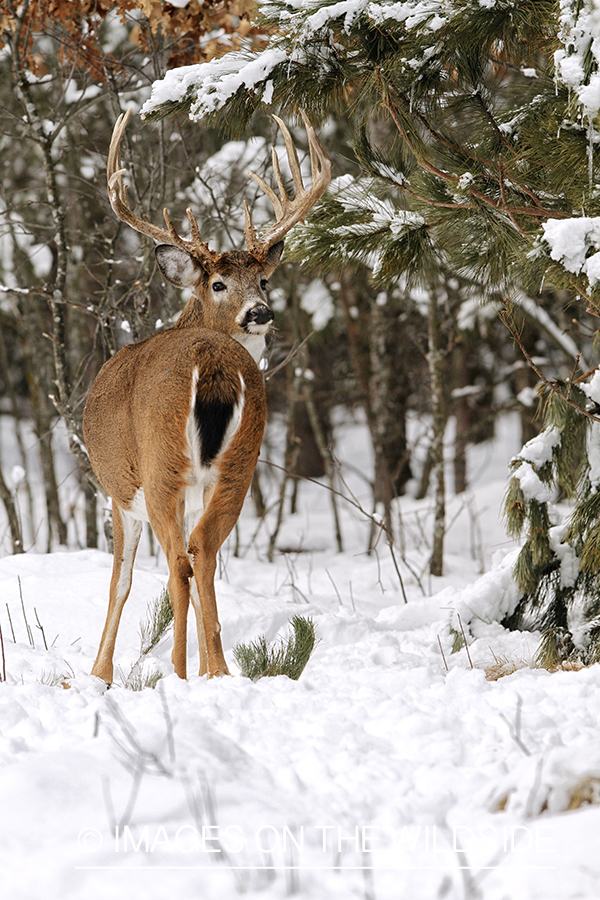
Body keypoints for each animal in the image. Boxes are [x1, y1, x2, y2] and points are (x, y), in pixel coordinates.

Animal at [82, 107, 330, 684]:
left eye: (263, 280)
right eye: (219, 283)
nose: (260, 312)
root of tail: (214, 364)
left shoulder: (118, 492)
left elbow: (120, 581)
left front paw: (100, 673)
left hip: (161, 462)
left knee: (179, 560)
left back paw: (176, 673)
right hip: (241, 459)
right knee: (205, 551)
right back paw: (217, 671)